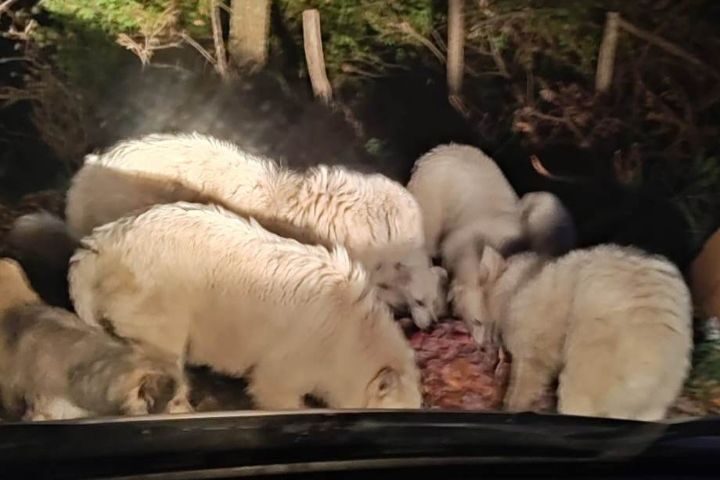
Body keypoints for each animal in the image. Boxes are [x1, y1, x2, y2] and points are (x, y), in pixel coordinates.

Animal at [472, 244, 692, 420]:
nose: (483, 346)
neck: (518, 282)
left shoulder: (535, 330)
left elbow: (528, 374)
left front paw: (511, 405)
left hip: (595, 358)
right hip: (665, 387)